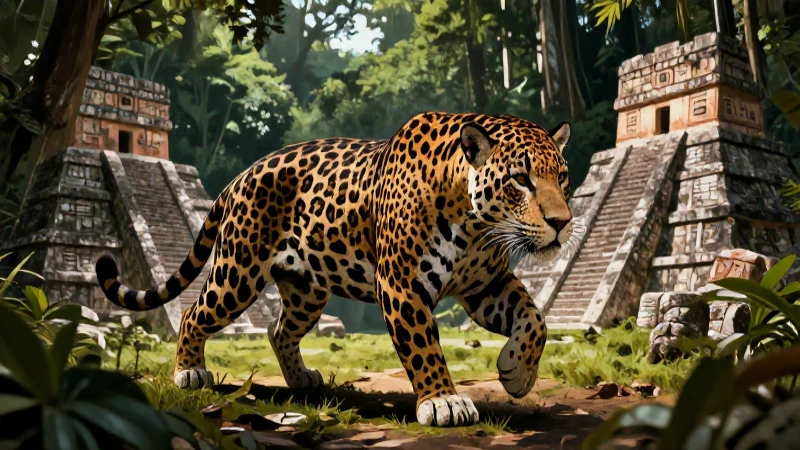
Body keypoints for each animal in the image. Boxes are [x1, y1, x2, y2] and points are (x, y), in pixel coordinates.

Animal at [95, 111, 577, 427]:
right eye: (520, 180)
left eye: (563, 177)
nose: (562, 222)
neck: (477, 225)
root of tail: (240, 176)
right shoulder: (403, 284)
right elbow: (424, 346)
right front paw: (443, 402)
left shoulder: (485, 284)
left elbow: (535, 320)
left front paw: (516, 373)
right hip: (239, 270)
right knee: (195, 313)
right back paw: (189, 372)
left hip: (307, 288)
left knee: (278, 329)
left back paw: (301, 379)